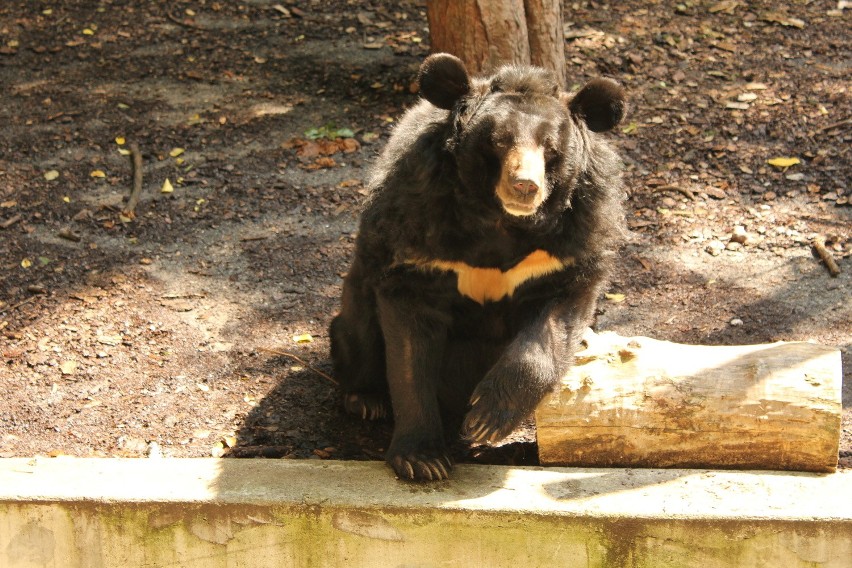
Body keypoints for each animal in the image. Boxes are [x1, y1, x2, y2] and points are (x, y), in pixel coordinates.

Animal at [332, 52, 624, 480]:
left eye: (550, 147)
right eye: (500, 140)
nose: (525, 186)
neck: (501, 220)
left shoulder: (571, 242)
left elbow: (551, 327)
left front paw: (486, 418)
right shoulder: (416, 227)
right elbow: (409, 348)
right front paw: (423, 460)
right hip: (358, 296)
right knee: (357, 335)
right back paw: (366, 399)